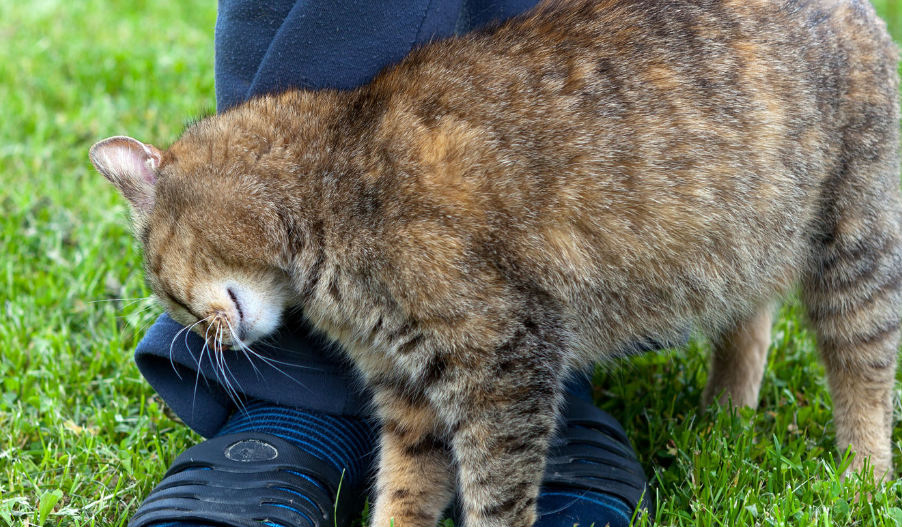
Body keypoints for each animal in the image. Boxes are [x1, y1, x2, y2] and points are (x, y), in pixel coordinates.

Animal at [88, 0, 900, 524]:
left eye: (168, 292)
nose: (205, 340)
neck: (330, 176)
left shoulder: (502, 363)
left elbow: (494, 494)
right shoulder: (407, 391)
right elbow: (405, 490)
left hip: (852, 241)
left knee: (862, 363)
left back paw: (862, 475)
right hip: (747, 239)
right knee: (751, 312)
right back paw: (725, 412)